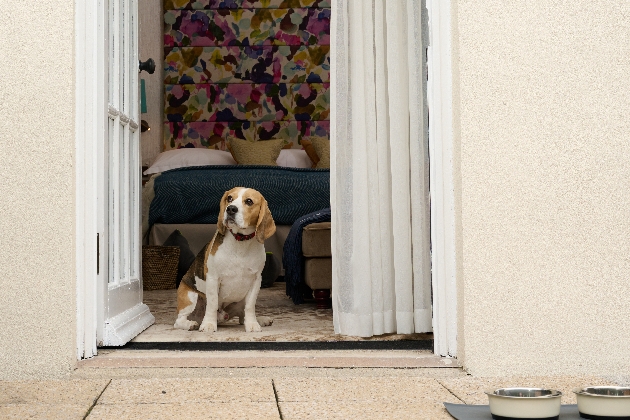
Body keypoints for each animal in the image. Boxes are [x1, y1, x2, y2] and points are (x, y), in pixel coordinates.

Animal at [177, 187, 278, 332]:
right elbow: (212, 304)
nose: (230, 209)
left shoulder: (256, 279)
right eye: (229, 198)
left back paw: (260, 320)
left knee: (242, 317)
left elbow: (250, 306)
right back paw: (190, 324)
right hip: (190, 297)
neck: (240, 241)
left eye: (249, 201)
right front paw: (209, 324)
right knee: (179, 320)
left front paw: (252, 324)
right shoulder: (213, 278)